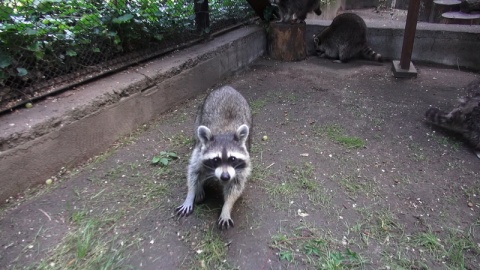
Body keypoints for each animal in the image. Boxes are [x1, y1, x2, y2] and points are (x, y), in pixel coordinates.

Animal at [175, 85, 251, 229]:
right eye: (216, 159)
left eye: (233, 159)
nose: (225, 177)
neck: (225, 132)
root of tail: (227, 87)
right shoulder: (199, 152)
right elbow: (193, 172)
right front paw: (191, 194)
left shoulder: (242, 166)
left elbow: (235, 186)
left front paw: (227, 207)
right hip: (199, 116)